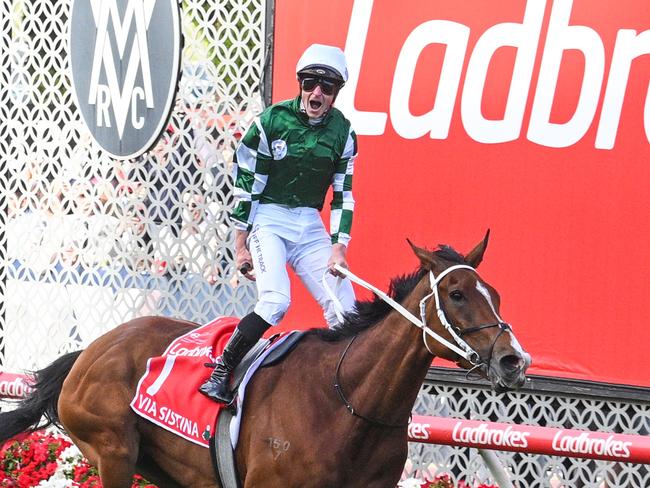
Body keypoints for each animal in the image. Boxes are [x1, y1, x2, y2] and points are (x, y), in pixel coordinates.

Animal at [0, 234, 528, 486]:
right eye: (456, 294)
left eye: (496, 293)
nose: (513, 361)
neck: (349, 404)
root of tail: (92, 349)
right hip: (112, 452)